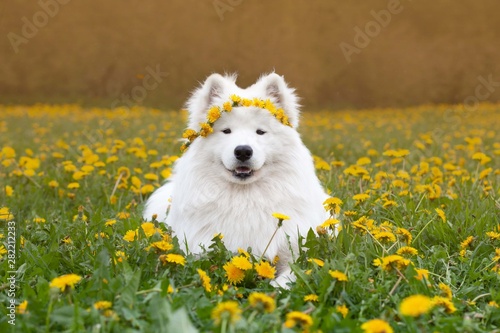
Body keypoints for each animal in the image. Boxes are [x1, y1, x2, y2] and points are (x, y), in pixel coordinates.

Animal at [144, 74, 332, 286]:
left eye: (260, 132)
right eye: (226, 131)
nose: (243, 151)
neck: (245, 198)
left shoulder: (299, 254)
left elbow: (289, 277)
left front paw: (274, 289)